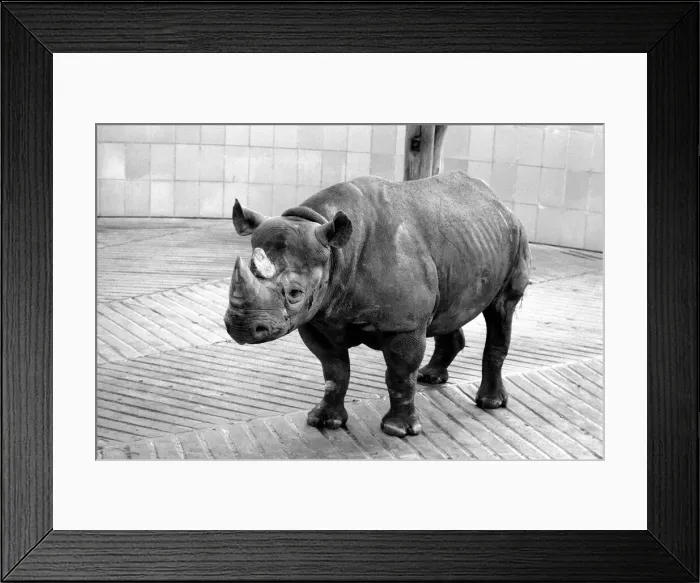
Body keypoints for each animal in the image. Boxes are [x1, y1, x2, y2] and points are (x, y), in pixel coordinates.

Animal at [224, 170, 531, 438]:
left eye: (295, 293)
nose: (241, 327)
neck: (336, 252)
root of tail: (497, 201)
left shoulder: (404, 323)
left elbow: (399, 373)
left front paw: (398, 430)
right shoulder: (318, 318)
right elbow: (334, 370)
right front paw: (324, 420)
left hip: (515, 234)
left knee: (501, 309)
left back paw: (490, 402)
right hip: (464, 242)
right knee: (447, 309)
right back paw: (430, 377)